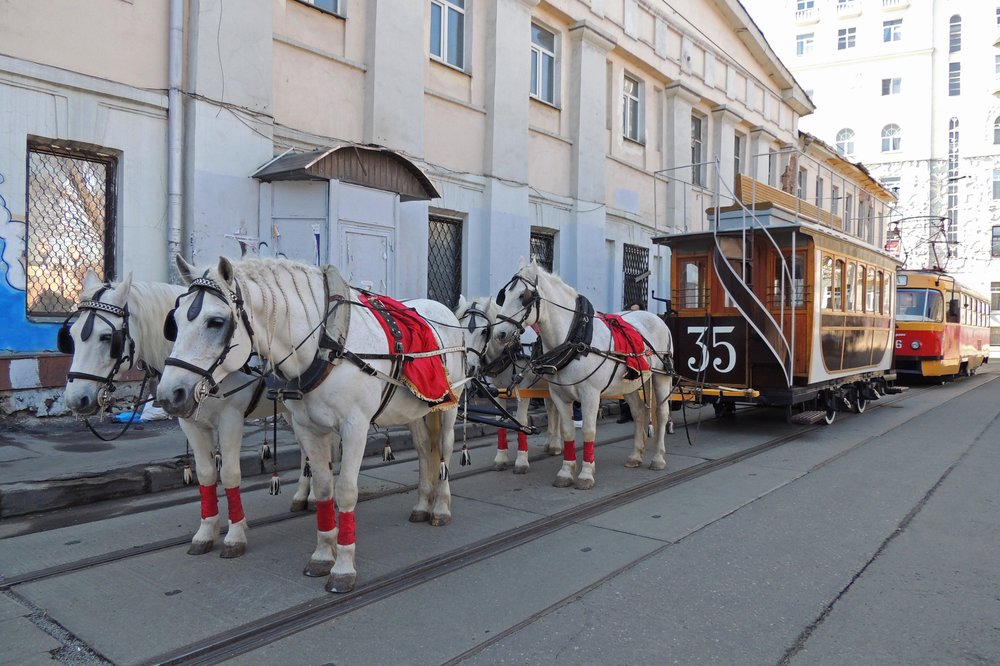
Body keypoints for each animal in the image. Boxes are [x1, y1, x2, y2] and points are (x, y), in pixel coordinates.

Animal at [60, 270, 310, 556]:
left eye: (106, 337)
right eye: (72, 336)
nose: (75, 399)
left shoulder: (231, 419)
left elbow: (230, 473)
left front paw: (235, 535)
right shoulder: (191, 423)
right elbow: (206, 474)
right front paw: (207, 531)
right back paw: (306, 495)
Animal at [157, 255, 468, 592]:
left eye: (215, 321)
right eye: (174, 321)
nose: (169, 395)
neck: (327, 345)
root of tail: (444, 310)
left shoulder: (353, 427)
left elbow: (345, 491)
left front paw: (343, 566)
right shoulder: (308, 427)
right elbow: (322, 488)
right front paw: (322, 554)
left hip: (449, 405)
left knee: (444, 449)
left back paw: (440, 507)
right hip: (414, 411)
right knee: (424, 450)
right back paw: (423, 504)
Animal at [456, 294, 564, 470]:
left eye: (484, 330)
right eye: (460, 328)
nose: (469, 367)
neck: (508, 350)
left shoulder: (524, 389)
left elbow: (521, 421)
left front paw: (521, 461)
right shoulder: (497, 390)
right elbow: (500, 420)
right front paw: (501, 458)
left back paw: (556, 445)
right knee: (552, 410)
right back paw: (551, 443)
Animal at [490, 260, 672, 488]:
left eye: (524, 296)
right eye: (504, 295)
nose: (499, 334)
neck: (575, 339)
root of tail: (654, 317)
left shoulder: (590, 395)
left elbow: (588, 430)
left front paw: (586, 474)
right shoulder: (559, 395)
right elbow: (568, 431)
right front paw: (566, 472)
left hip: (662, 376)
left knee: (661, 413)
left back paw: (658, 459)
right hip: (629, 383)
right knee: (639, 413)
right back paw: (635, 456)